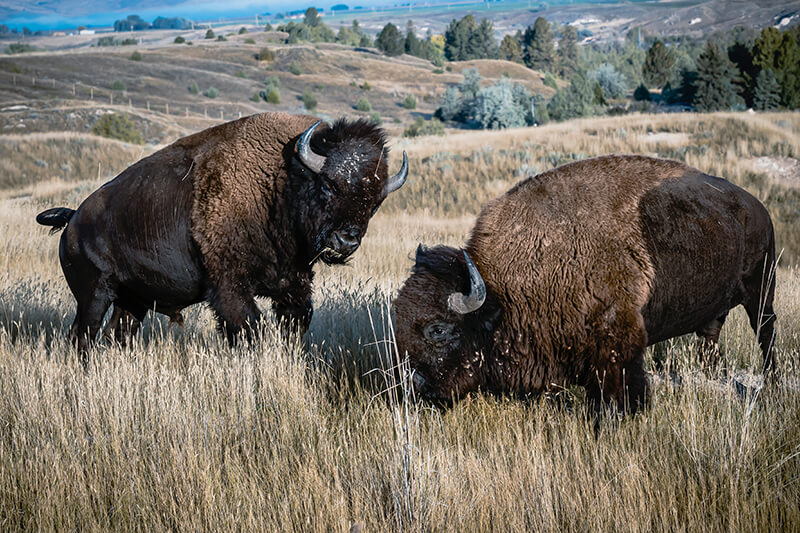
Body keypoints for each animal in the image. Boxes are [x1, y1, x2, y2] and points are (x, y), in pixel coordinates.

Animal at [38, 112, 410, 354]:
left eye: (374, 202)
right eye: (329, 185)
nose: (346, 241)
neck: (281, 182)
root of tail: (74, 220)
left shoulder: (293, 286)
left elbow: (294, 323)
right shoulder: (230, 289)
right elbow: (247, 328)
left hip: (133, 301)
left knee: (118, 335)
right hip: (94, 295)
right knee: (82, 336)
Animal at [396, 154, 780, 412]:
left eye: (438, 330)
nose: (414, 387)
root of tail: (757, 206)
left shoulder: (618, 346)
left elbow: (617, 392)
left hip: (761, 290)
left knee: (766, 332)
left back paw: (772, 383)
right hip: (718, 305)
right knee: (711, 335)